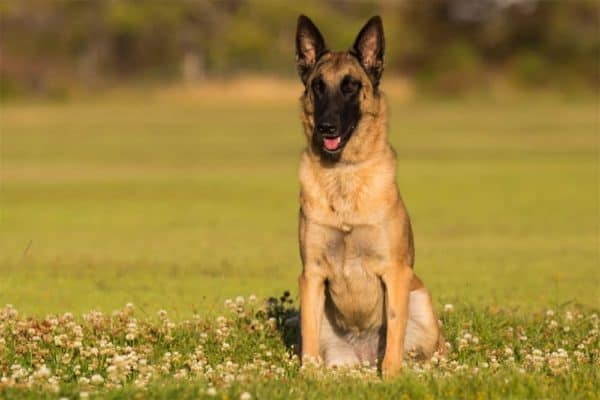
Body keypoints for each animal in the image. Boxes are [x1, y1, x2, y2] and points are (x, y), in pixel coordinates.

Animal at [296, 16, 446, 378]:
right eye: (318, 86)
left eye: (350, 86)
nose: (326, 127)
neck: (343, 175)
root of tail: (364, 357)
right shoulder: (311, 275)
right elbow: (308, 341)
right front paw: (306, 377)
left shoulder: (395, 273)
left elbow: (393, 332)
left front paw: (390, 378)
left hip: (421, 302)